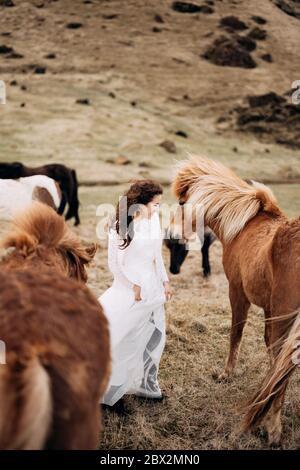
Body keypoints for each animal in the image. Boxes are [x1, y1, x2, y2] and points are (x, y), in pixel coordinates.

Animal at [170, 155, 300, 444]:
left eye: (182, 203)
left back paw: (272, 428)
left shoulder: (238, 294)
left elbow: (236, 334)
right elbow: (270, 351)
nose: (171, 235)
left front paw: (227, 374)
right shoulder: (268, 308)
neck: (244, 226)